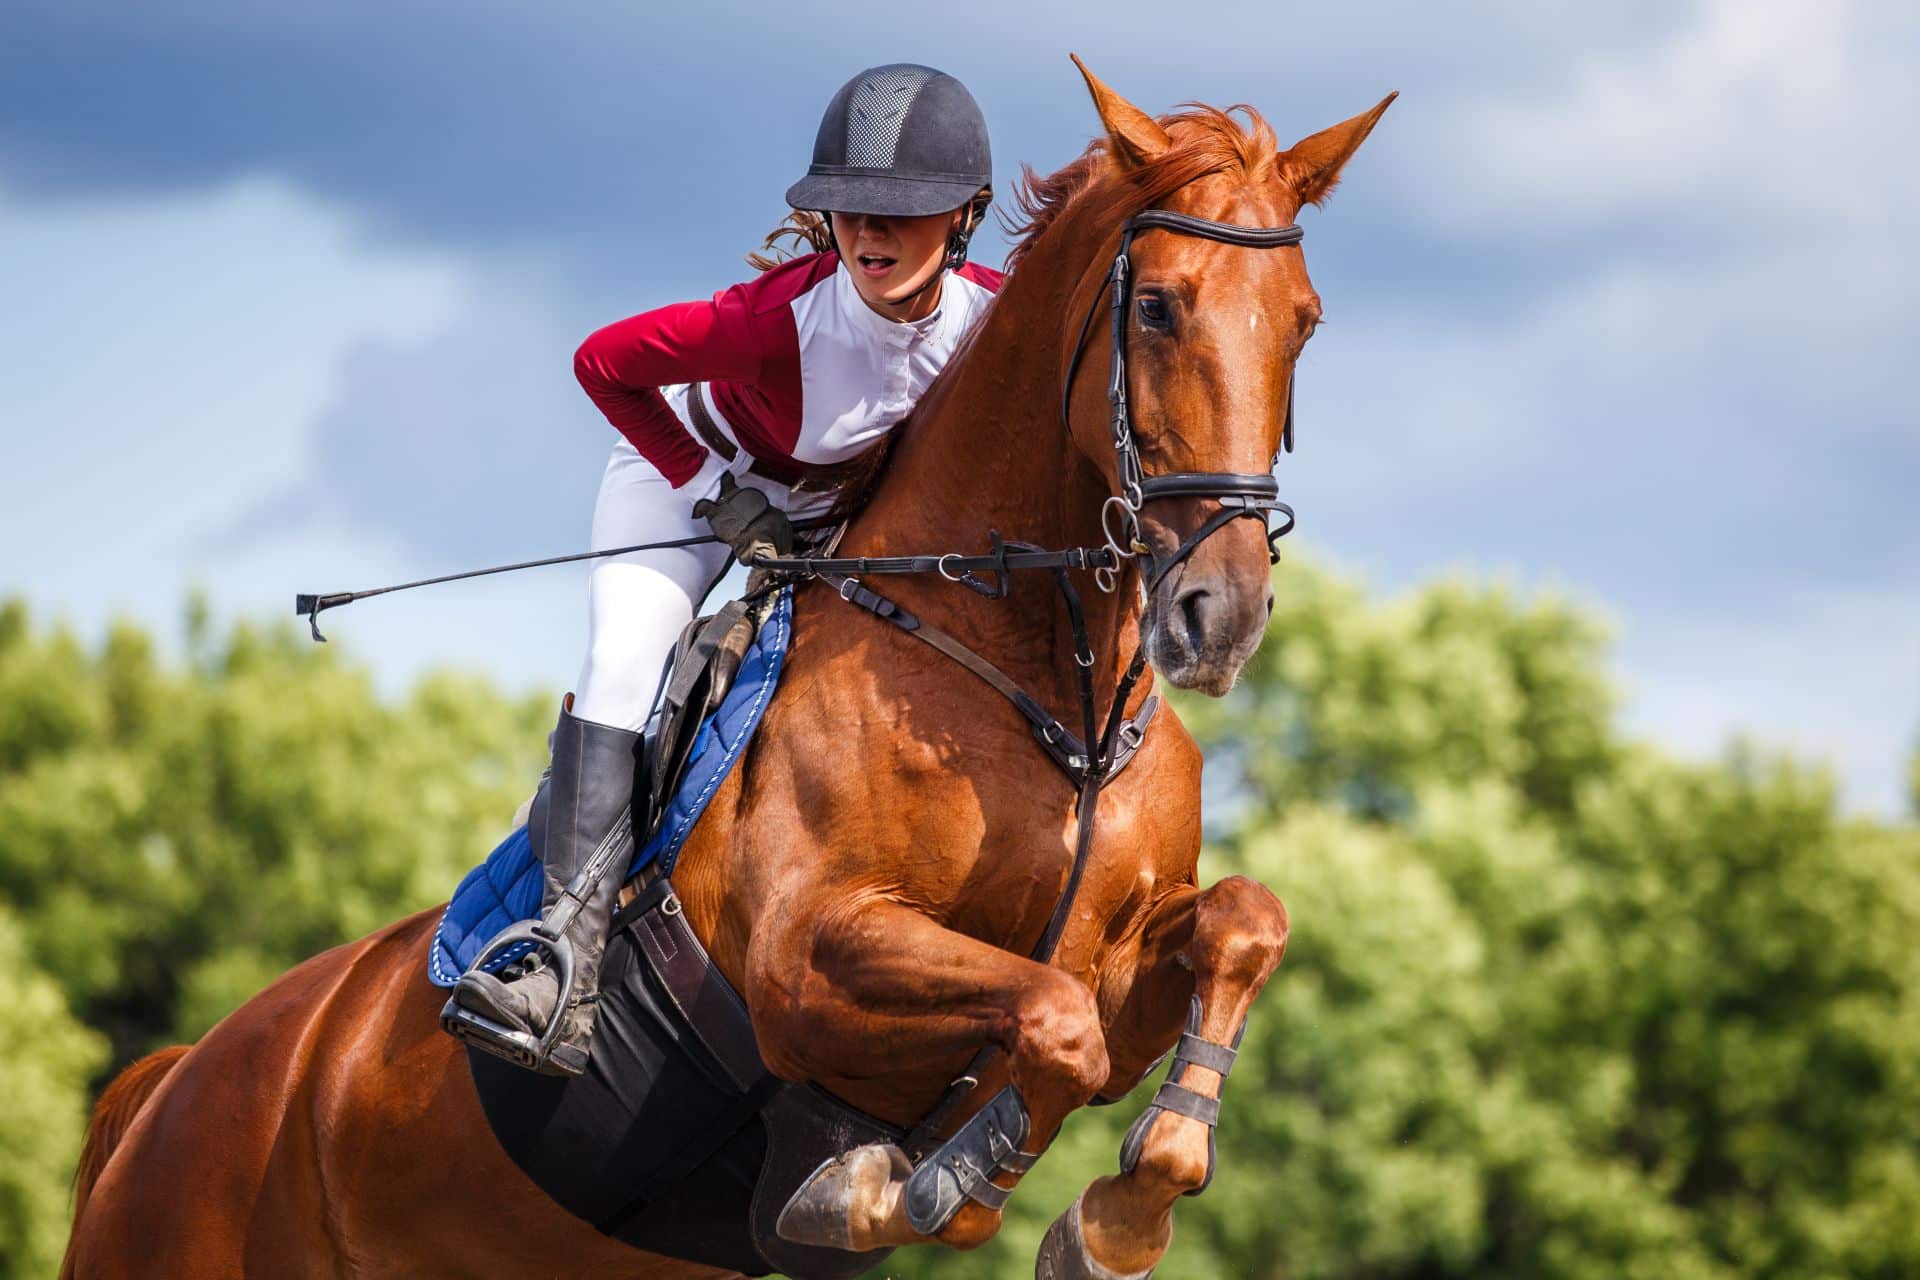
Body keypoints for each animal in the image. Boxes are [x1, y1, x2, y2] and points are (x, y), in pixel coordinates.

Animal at [63, 59, 1391, 1280]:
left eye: (1307, 319)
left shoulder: (1117, 962)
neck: (1044, 697)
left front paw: (1121, 1210)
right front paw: (904, 1186)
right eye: (1159, 307)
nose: (1222, 614)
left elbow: (1240, 926)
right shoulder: (808, 959)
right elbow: (1048, 1035)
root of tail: (176, 1083)